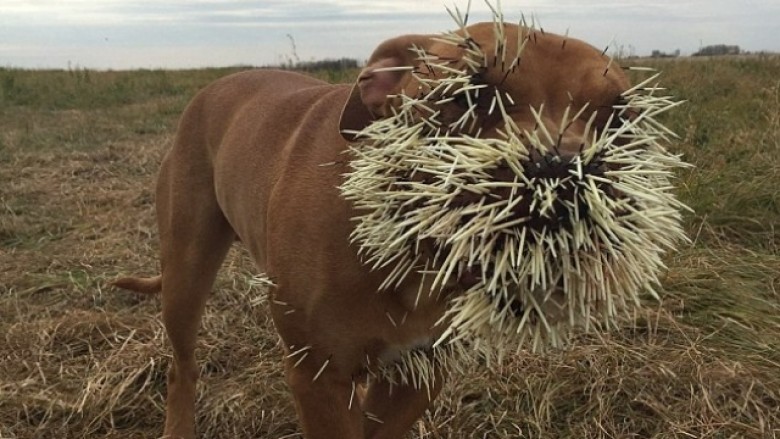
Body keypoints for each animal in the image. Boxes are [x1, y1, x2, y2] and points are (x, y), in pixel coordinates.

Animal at [114, 21, 632, 439]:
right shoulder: (318, 375)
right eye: (470, 96)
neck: (412, 252)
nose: (564, 170)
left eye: (619, 118)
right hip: (186, 273)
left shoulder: (420, 372)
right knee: (182, 367)